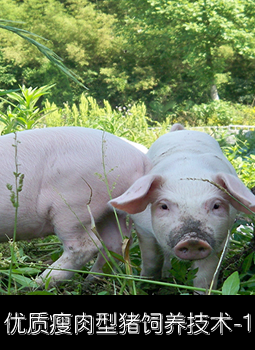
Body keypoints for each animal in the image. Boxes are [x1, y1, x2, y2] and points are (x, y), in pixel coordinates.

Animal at [0, 127, 151, 286]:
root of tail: (141, 156)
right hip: (109, 210)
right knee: (117, 242)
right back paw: (91, 279)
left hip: (73, 208)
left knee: (85, 246)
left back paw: (38, 282)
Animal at [110, 124, 255, 292]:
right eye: (164, 206)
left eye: (216, 205)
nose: (192, 239)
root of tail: (181, 130)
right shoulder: (142, 227)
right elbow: (151, 258)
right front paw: (146, 284)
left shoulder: (221, 238)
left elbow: (206, 275)